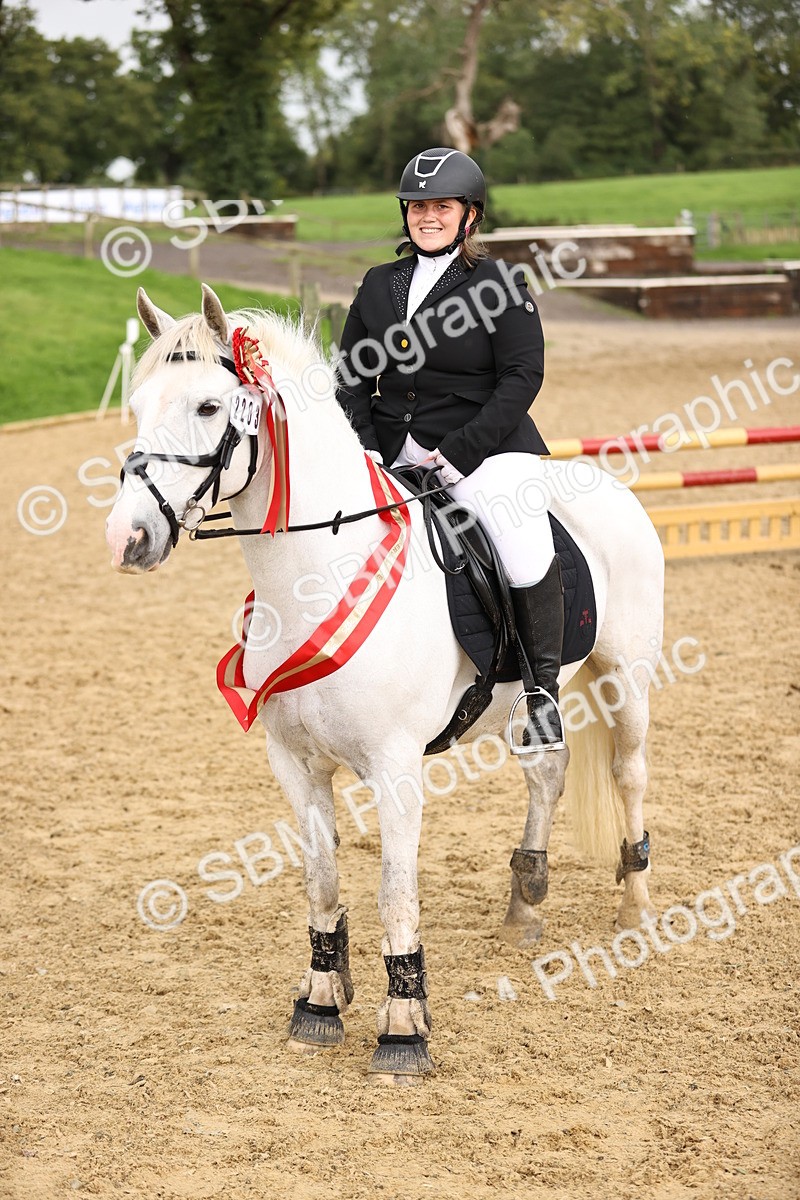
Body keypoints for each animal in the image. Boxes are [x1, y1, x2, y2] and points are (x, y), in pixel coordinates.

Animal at [106, 283, 664, 1085]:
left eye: (211, 407)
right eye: (138, 403)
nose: (128, 538)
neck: (316, 573)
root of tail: (602, 482)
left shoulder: (396, 769)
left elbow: (395, 889)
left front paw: (403, 1030)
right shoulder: (296, 765)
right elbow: (322, 879)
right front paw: (319, 1000)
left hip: (626, 679)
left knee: (628, 775)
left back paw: (637, 906)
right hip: (536, 699)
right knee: (549, 771)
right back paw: (525, 905)